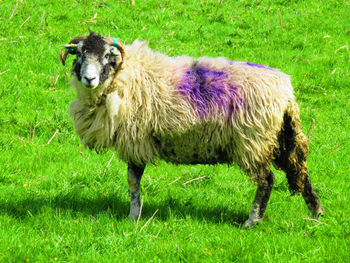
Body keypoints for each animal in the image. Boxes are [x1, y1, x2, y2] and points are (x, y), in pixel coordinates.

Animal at [59, 31, 322, 229]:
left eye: (106, 55)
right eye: (80, 53)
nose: (89, 79)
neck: (126, 75)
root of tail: (285, 91)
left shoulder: (136, 140)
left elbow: (133, 181)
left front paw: (134, 216)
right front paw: (135, 214)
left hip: (253, 141)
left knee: (267, 179)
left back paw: (252, 221)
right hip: (280, 137)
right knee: (300, 170)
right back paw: (316, 215)